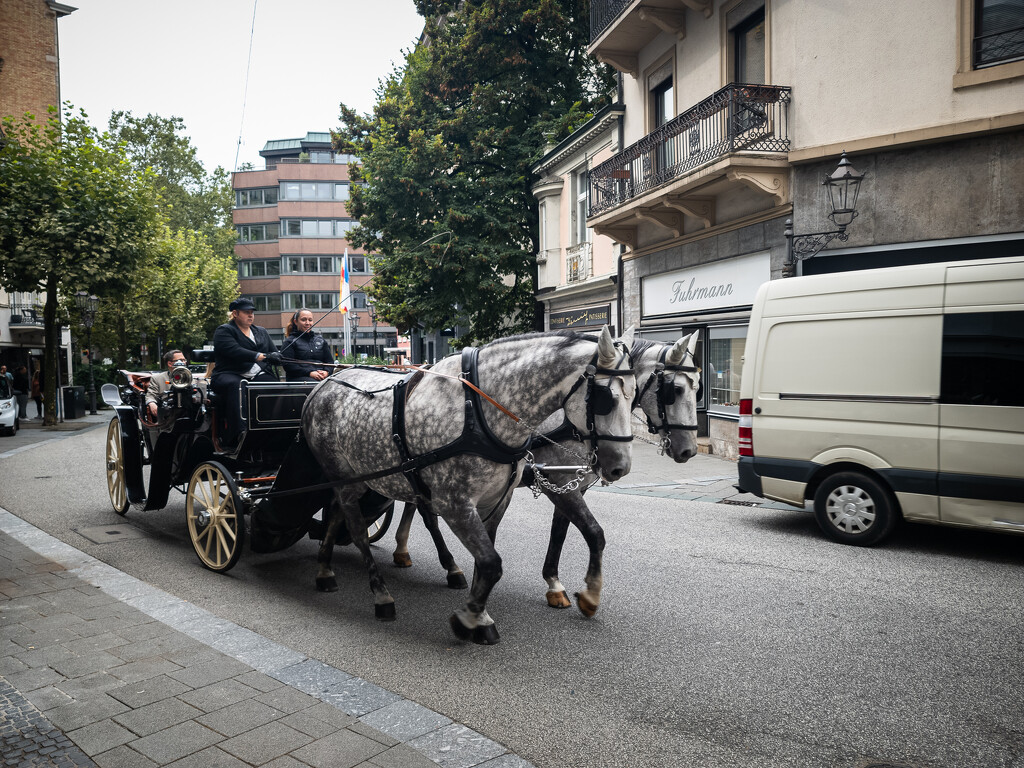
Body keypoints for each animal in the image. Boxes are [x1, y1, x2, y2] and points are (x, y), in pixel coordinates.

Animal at [299, 327, 634, 647]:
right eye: (606, 397)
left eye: (633, 395)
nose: (621, 467)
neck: (478, 412)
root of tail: (322, 385)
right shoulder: (456, 502)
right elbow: (491, 562)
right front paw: (469, 619)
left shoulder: (497, 500)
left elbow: (485, 562)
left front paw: (482, 614)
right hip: (346, 479)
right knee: (357, 531)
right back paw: (380, 594)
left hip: (359, 481)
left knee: (337, 515)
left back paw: (325, 569)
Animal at [387, 333, 700, 618]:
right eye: (674, 390)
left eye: (697, 388)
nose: (689, 450)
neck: (568, 420)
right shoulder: (559, 485)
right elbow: (593, 532)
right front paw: (586, 594)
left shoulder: (569, 487)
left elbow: (560, 532)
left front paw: (554, 584)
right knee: (428, 516)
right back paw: (449, 566)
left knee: (413, 504)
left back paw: (403, 549)